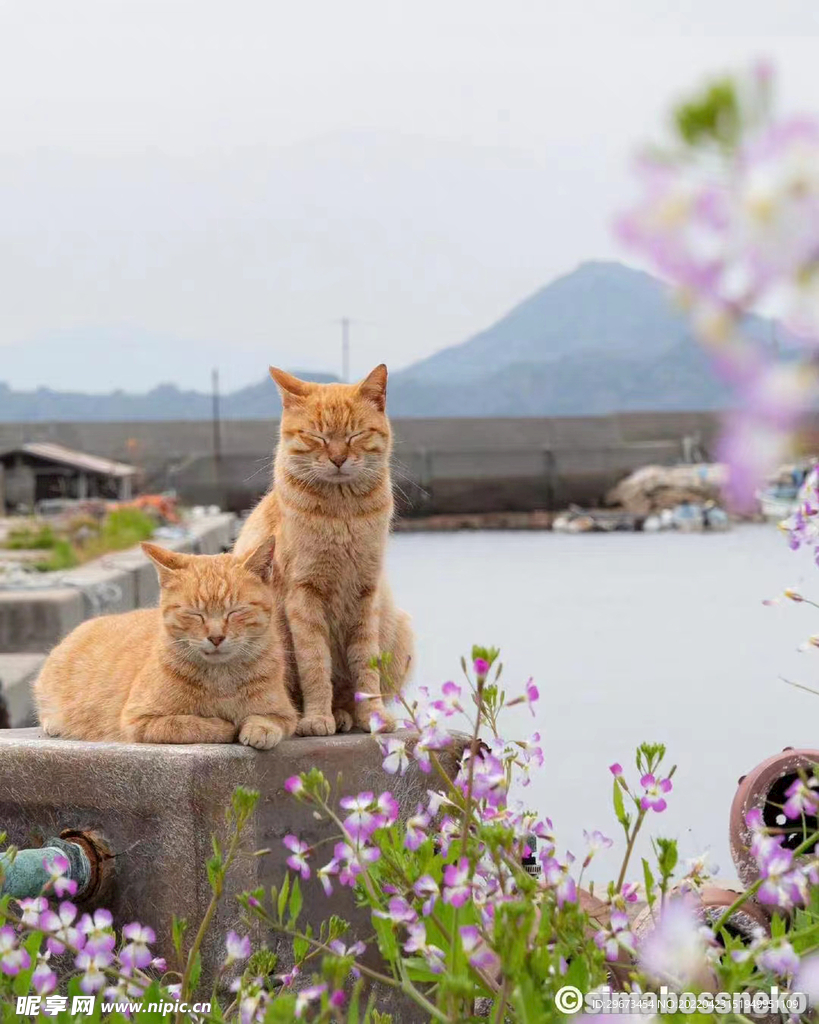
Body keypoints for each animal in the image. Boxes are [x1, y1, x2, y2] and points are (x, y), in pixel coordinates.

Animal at [36, 540, 296, 749]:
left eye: (235, 612)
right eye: (194, 614)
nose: (216, 637)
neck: (222, 679)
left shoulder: (286, 714)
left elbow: (270, 721)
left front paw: (259, 729)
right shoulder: (139, 720)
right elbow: (191, 725)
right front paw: (223, 726)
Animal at [232, 364, 413, 733]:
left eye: (355, 435)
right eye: (317, 437)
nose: (338, 458)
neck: (342, 514)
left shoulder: (365, 593)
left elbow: (366, 665)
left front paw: (372, 715)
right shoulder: (304, 595)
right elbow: (315, 664)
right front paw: (317, 716)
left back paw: (345, 714)